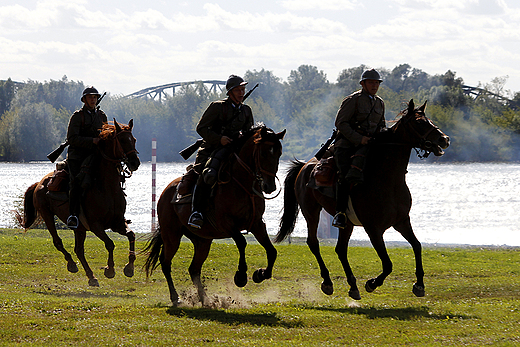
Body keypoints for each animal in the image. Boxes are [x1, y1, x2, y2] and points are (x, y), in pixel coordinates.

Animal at [18, 119, 140, 288]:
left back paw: (91, 277)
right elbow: (110, 244)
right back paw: (72, 264)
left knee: (79, 250)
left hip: (79, 228)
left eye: (133, 139)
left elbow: (131, 235)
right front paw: (110, 270)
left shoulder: (117, 223)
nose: (135, 163)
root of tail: (39, 183)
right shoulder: (96, 226)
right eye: (121, 140)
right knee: (58, 242)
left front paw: (129, 268)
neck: (107, 188)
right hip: (47, 215)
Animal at [144, 125, 286, 308]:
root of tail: (165, 193)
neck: (242, 184)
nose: (270, 186)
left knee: (193, 269)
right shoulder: (227, 223)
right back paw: (176, 297)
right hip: (172, 237)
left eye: (279, 153)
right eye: (262, 153)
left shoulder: (257, 224)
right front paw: (241, 276)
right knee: (165, 262)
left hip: (202, 241)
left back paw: (205, 299)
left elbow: (272, 251)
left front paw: (260, 274)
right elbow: (242, 242)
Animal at [276, 99, 450, 300]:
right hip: (311, 212)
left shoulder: (402, 221)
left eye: (429, 120)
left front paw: (420, 284)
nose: (444, 139)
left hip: (346, 223)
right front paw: (372, 283)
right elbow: (388, 264)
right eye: (420, 122)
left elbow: (417, 245)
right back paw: (328, 282)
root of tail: (304, 166)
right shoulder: (373, 229)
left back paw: (352, 285)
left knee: (341, 249)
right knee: (314, 243)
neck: (387, 179)